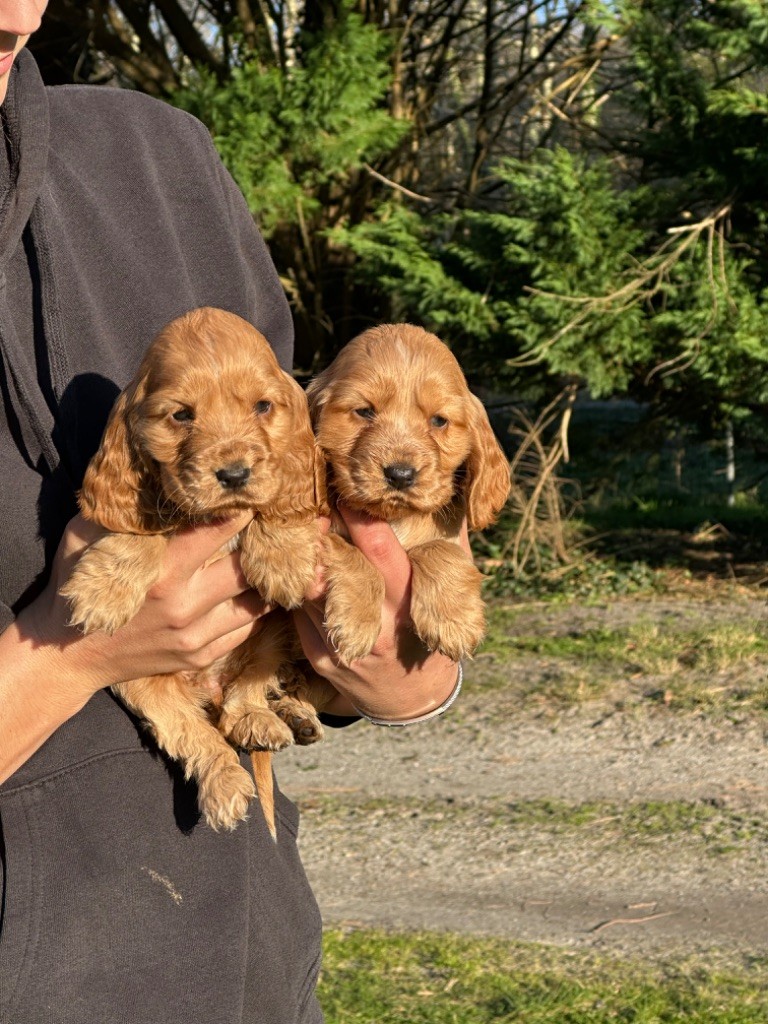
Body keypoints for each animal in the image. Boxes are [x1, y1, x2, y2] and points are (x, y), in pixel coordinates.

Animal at [61, 305, 323, 831]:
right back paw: (226, 782)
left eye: (263, 407)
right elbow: (141, 532)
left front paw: (283, 557)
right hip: (140, 682)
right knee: (196, 734)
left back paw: (269, 719)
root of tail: (209, 685)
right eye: (181, 415)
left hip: (272, 634)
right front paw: (103, 590)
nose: (235, 474)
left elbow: (273, 504)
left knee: (250, 689)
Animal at [305, 323, 512, 667]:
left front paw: (454, 620)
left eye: (439, 420)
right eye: (364, 411)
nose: (400, 474)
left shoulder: (449, 535)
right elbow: (347, 549)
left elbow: (440, 548)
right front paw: (356, 621)